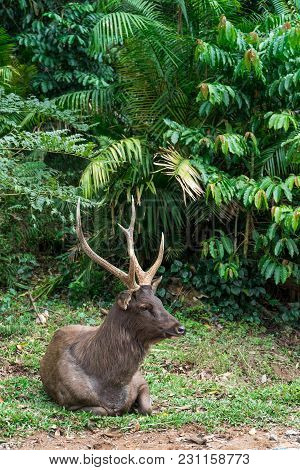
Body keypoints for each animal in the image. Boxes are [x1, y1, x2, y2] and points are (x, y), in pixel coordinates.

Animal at [40, 198, 185, 414]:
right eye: (144, 306)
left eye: (160, 301)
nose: (180, 328)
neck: (113, 384)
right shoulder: (69, 401)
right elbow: (103, 410)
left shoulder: (140, 379)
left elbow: (147, 408)